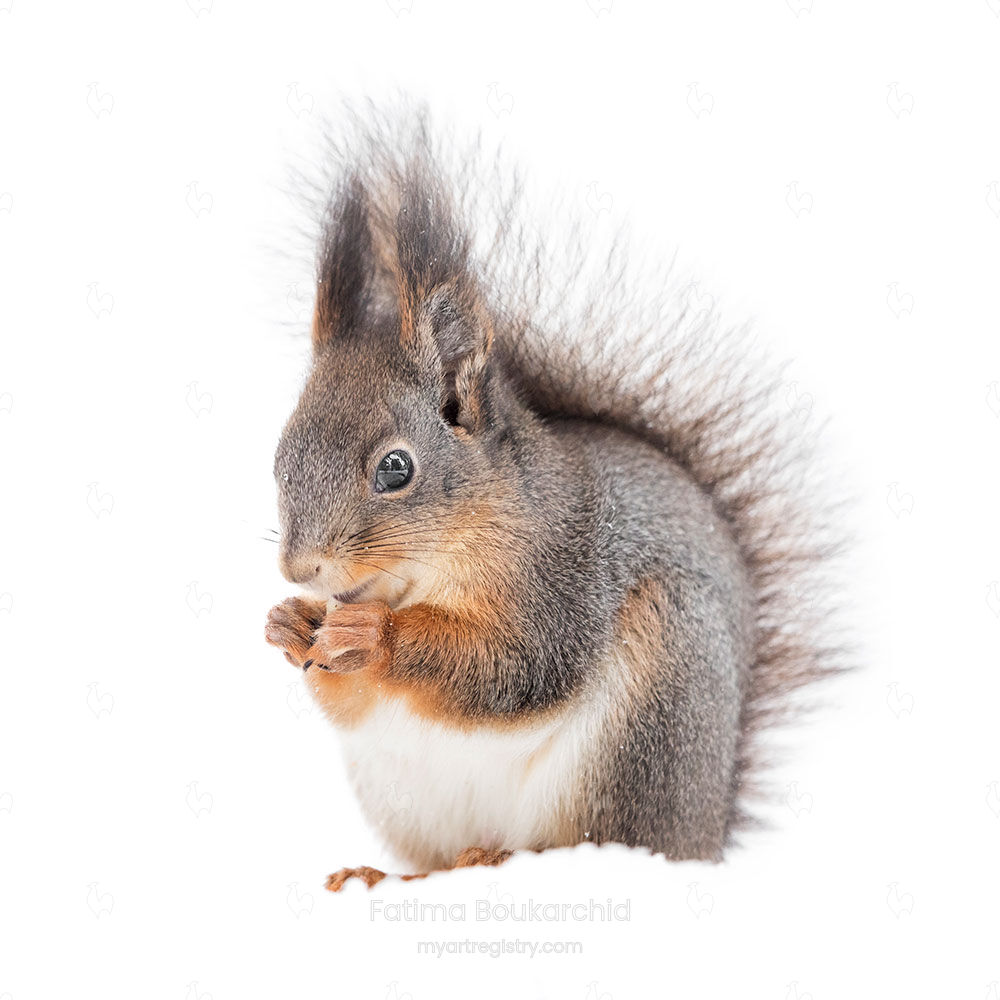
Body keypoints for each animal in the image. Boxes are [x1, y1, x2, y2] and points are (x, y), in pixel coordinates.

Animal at [264, 104, 842, 891]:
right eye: (279, 457)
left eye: (395, 469)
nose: (301, 570)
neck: (422, 574)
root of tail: (706, 830)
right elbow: (351, 699)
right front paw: (291, 624)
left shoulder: (563, 577)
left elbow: (516, 669)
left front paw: (376, 636)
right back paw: (396, 875)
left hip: (650, 716)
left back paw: (502, 856)